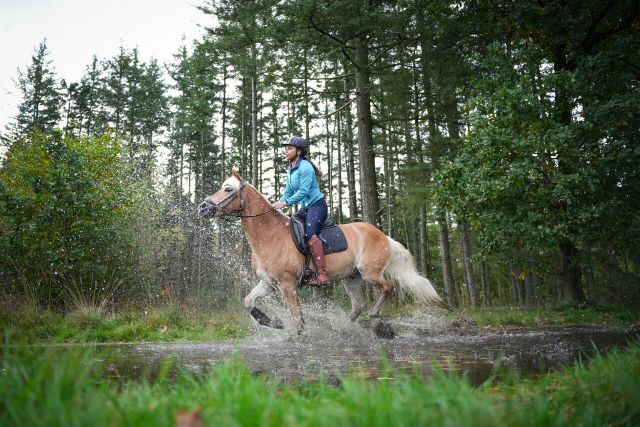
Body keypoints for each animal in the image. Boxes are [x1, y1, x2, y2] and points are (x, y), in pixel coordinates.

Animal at [199, 172, 440, 336]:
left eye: (228, 189)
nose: (203, 207)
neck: (270, 235)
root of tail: (383, 236)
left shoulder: (287, 285)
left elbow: (297, 318)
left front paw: (298, 335)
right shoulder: (268, 283)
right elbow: (249, 301)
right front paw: (274, 322)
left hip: (370, 272)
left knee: (387, 288)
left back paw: (373, 317)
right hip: (351, 278)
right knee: (358, 304)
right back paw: (343, 328)